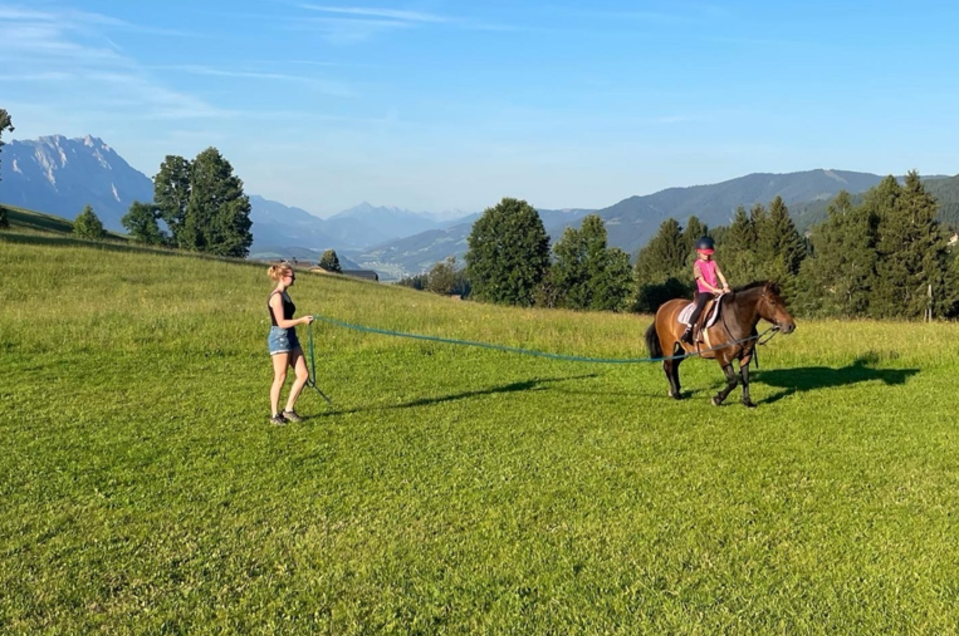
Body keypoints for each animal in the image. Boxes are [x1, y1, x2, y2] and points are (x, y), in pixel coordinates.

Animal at [648, 282, 800, 408]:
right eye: (772, 302)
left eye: (783, 301)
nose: (790, 326)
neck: (736, 320)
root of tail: (663, 307)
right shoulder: (723, 357)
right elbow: (733, 381)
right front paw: (717, 399)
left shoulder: (746, 356)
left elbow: (745, 378)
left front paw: (747, 402)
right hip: (668, 344)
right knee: (668, 365)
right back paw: (676, 394)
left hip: (685, 348)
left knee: (674, 364)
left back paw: (676, 390)